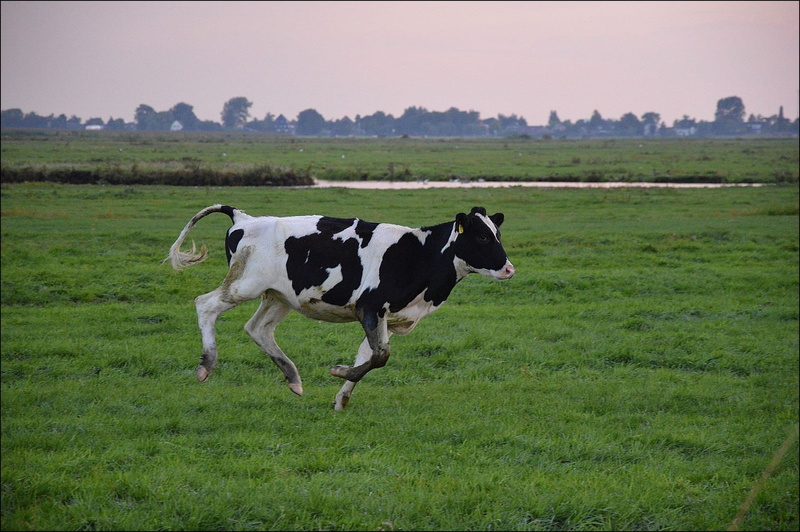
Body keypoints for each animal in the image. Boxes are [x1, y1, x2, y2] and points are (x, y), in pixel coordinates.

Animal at [167, 205, 515, 410]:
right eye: (482, 238)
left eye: (497, 234)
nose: (509, 269)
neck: (420, 254)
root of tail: (244, 218)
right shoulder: (370, 307)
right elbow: (381, 356)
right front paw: (338, 371)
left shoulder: (386, 317)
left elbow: (369, 356)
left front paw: (342, 398)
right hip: (244, 285)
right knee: (205, 305)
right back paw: (206, 364)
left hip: (279, 296)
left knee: (257, 329)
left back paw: (292, 377)